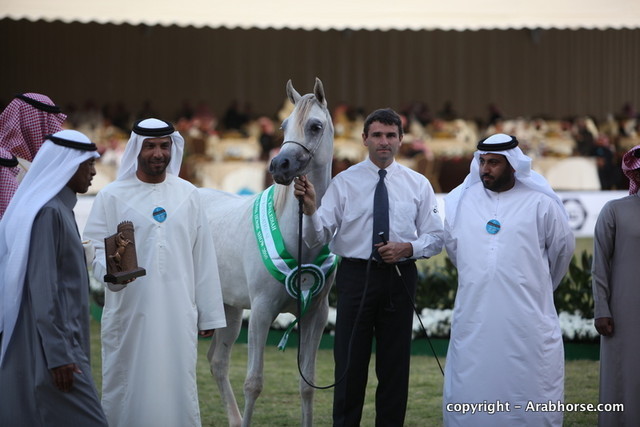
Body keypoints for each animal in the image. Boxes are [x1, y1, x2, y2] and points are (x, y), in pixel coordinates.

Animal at [198, 78, 335, 427]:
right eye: (283, 125)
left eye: (315, 126)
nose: (279, 165)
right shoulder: (261, 312)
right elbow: (254, 382)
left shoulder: (316, 315)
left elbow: (307, 385)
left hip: (228, 310)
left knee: (217, 362)